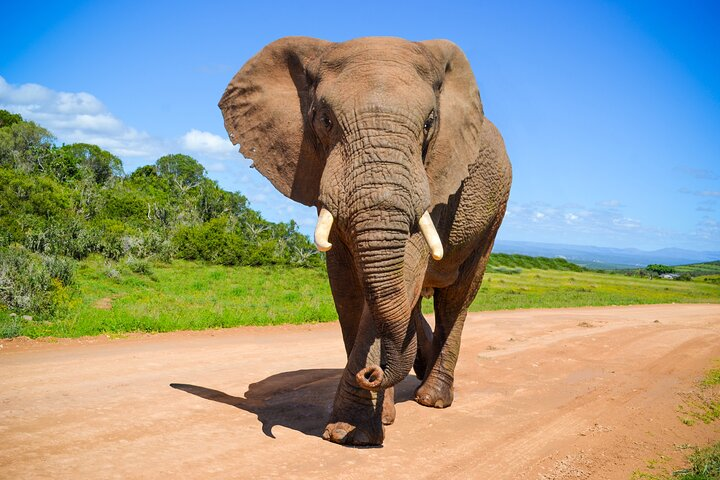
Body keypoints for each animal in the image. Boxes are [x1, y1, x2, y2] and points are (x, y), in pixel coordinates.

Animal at [219, 35, 512, 444]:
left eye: (429, 123)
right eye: (325, 120)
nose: (371, 375)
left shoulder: (437, 181)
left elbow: (404, 269)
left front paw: (352, 433)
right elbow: (346, 284)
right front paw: (367, 422)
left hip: (494, 212)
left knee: (457, 297)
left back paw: (432, 399)